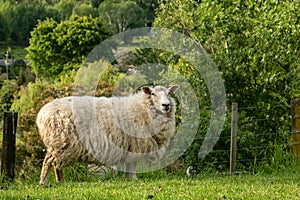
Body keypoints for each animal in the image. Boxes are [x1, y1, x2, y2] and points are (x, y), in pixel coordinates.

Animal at [36, 85, 179, 184]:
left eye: (169, 93)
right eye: (153, 94)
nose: (166, 105)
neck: (141, 109)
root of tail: (42, 114)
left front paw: (129, 179)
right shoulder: (135, 146)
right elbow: (132, 165)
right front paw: (133, 179)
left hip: (60, 145)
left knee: (56, 164)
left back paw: (60, 181)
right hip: (61, 142)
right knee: (48, 161)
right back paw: (43, 182)